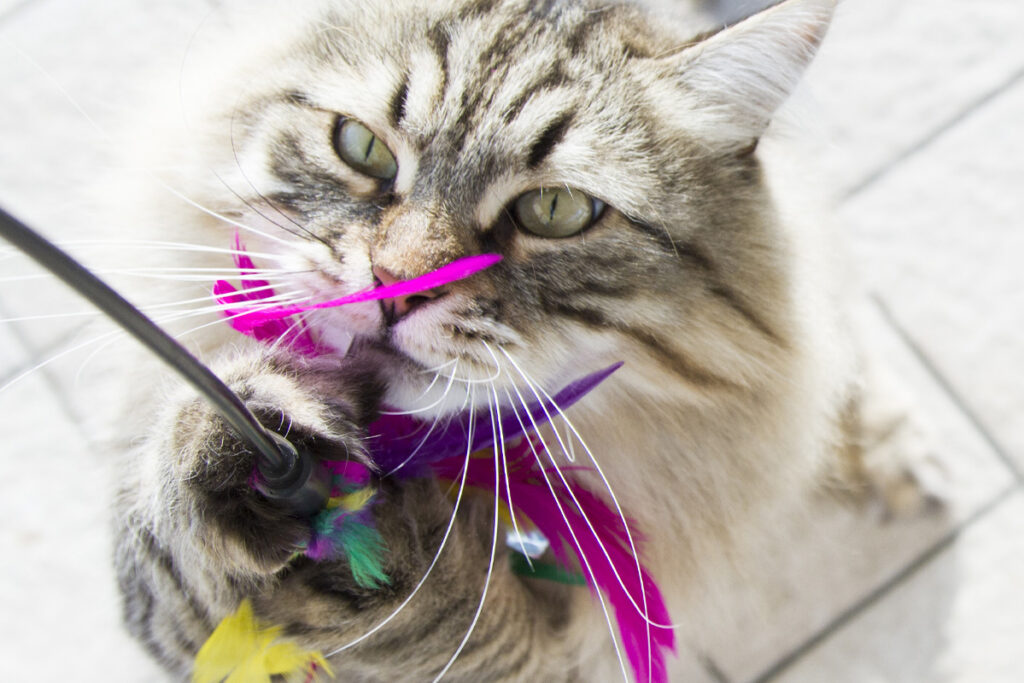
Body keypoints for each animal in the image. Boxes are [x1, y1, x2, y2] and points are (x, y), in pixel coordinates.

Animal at [103, 0, 942, 679]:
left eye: (556, 211)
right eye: (361, 148)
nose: (393, 286)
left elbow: (430, 615)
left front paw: (360, 539)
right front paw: (252, 449)